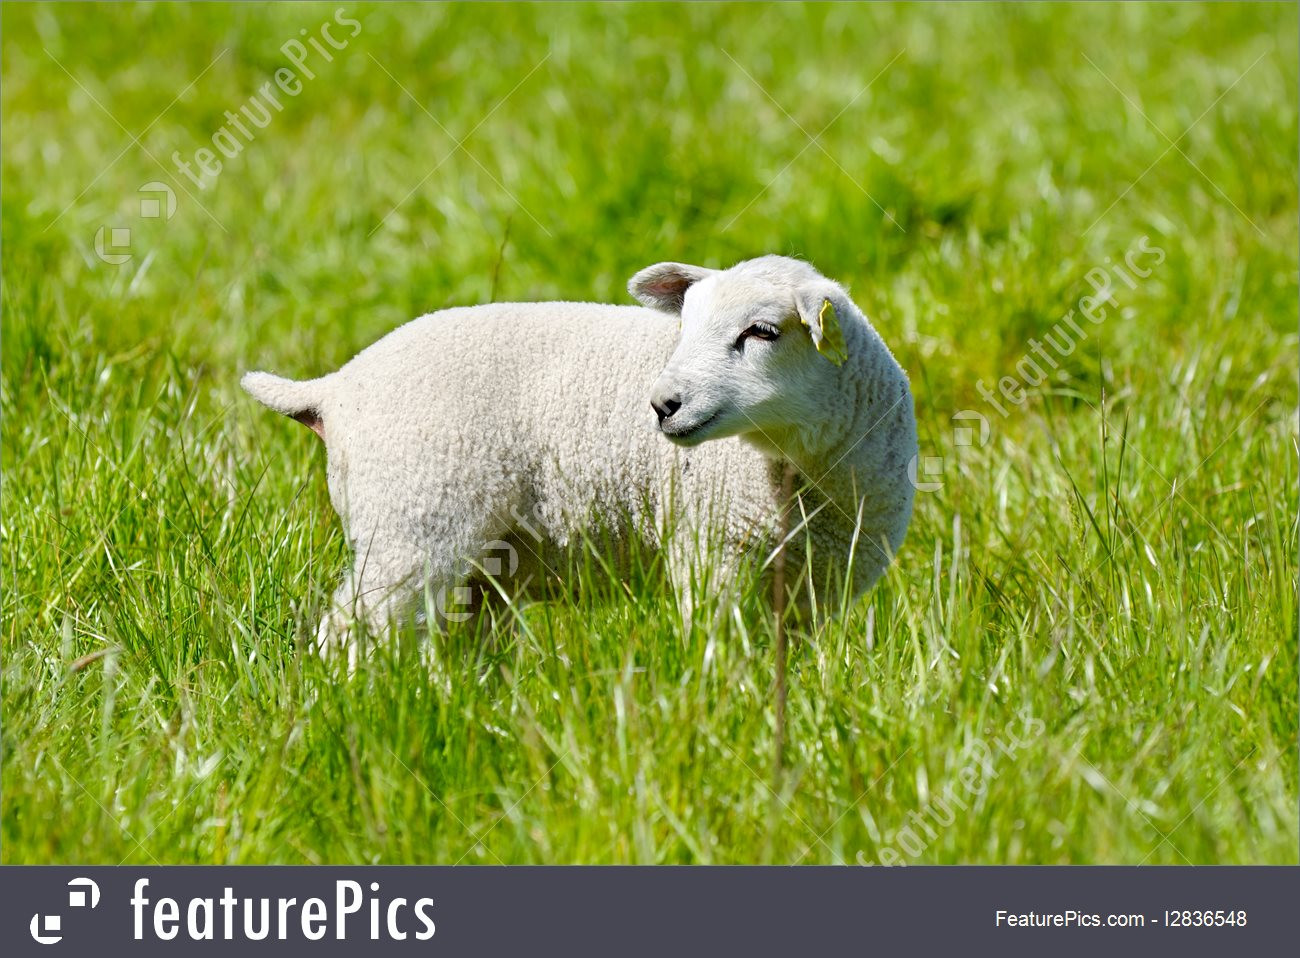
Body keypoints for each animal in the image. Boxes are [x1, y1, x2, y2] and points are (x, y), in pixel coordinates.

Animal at [241, 252, 915, 665]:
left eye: (763, 332)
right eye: (683, 329)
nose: (662, 404)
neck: (804, 469)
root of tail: (334, 388)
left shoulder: (816, 584)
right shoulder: (711, 548)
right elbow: (716, 643)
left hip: (470, 562)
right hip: (411, 522)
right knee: (348, 632)